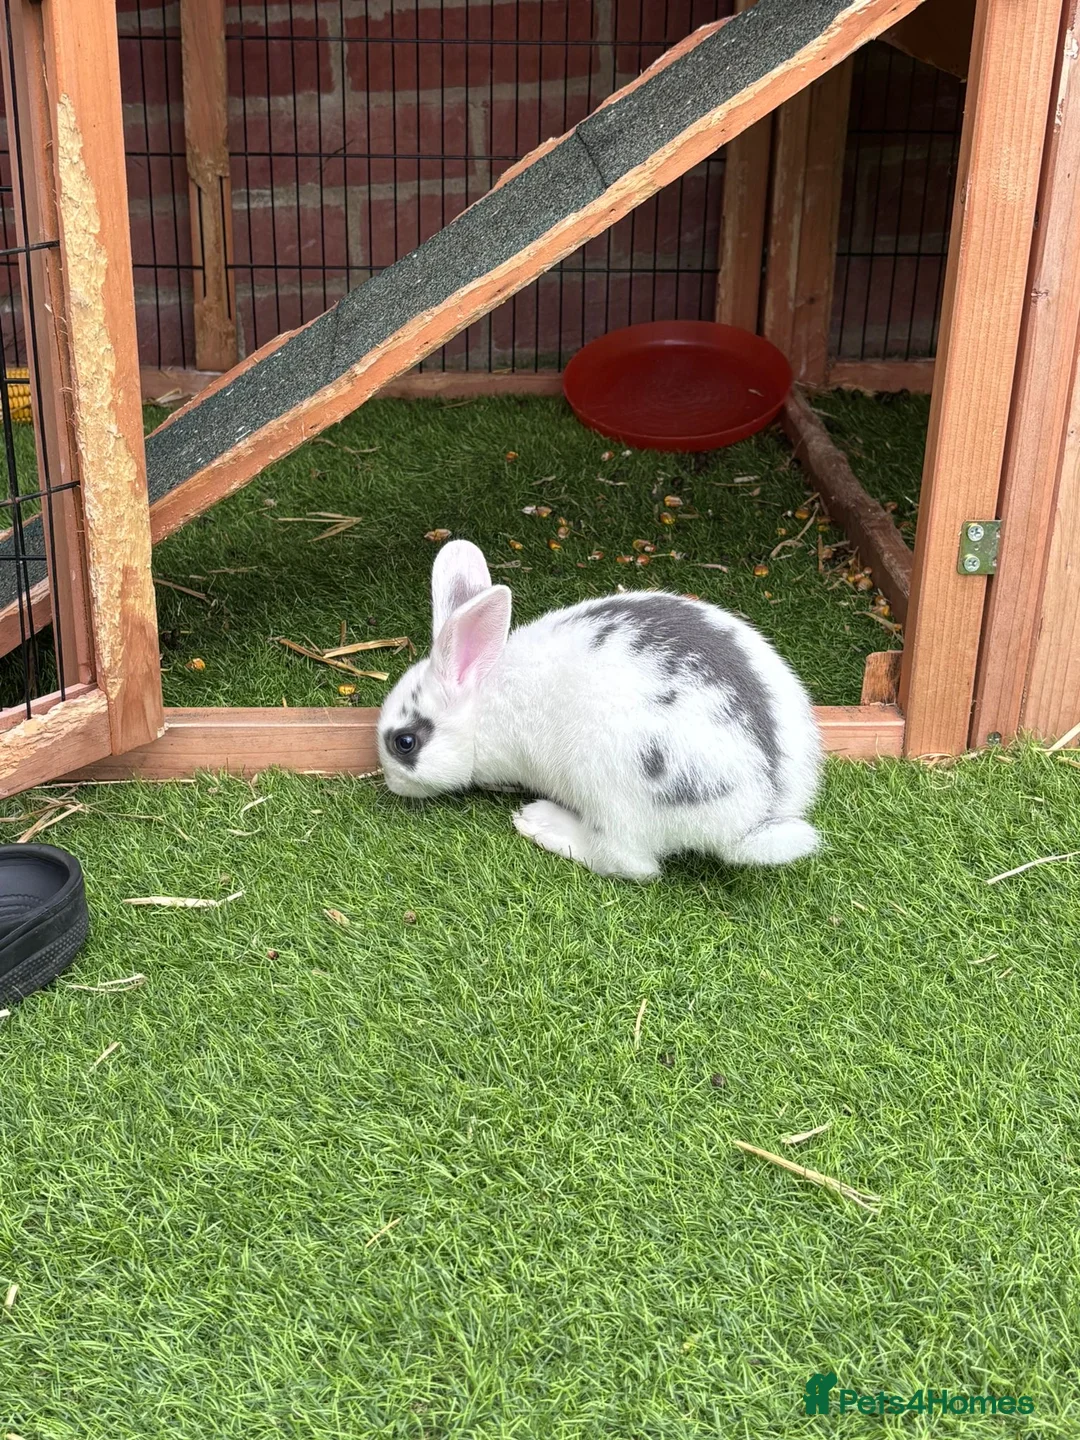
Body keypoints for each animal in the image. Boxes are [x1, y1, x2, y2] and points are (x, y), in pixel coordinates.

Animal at [377, 539, 823, 882]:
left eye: (405, 742)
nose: (392, 784)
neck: (480, 705)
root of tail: (755, 817)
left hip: (610, 787)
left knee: (629, 864)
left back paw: (543, 823)